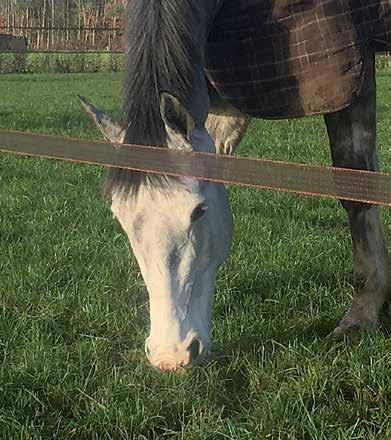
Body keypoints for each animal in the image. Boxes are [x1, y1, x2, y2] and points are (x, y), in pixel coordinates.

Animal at [80, 0, 391, 372]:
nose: (170, 356)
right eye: (119, 217)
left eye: (198, 212)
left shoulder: (346, 74)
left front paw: (363, 313)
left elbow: (356, 188)